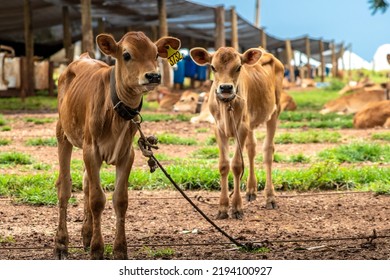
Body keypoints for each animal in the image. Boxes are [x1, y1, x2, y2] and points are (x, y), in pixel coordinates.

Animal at [54, 31, 180, 260]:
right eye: (127, 54)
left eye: (156, 54)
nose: (153, 76)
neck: (116, 111)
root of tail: (82, 57)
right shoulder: (92, 151)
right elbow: (97, 199)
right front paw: (97, 249)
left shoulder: (126, 154)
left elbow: (120, 200)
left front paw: (119, 249)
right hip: (63, 134)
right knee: (64, 187)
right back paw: (61, 243)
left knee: (86, 183)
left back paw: (86, 234)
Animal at [190, 47, 284, 219]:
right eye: (213, 67)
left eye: (239, 67)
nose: (226, 88)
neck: (227, 106)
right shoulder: (219, 129)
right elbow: (223, 165)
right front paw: (222, 207)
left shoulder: (242, 128)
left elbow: (237, 165)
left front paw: (236, 207)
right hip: (252, 122)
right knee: (251, 148)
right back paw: (251, 190)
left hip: (274, 112)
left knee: (268, 151)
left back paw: (270, 197)